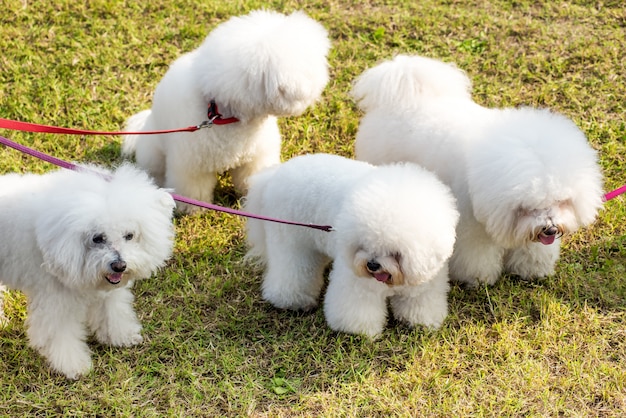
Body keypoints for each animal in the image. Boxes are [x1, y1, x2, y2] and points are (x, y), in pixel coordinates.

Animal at [0, 163, 176, 378]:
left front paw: (121, 335)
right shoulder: (56, 299)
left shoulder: (105, 291)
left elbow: (111, 311)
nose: (119, 266)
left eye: (129, 235)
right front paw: (72, 364)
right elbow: (59, 332)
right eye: (97, 238)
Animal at [119, 9, 330, 212]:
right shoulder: (192, 166)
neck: (222, 115)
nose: (323, 80)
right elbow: (193, 190)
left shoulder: (255, 158)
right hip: (153, 154)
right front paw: (193, 209)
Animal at [244, 155, 458, 338]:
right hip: (291, 243)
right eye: (363, 245)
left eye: (395, 253)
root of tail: (274, 176)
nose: (372, 265)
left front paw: (419, 322)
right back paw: (292, 301)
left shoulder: (424, 283)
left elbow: (419, 302)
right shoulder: (357, 282)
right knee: (291, 273)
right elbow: (357, 307)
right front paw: (358, 331)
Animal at [348, 54, 604, 286]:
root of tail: (402, 91)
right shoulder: (472, 226)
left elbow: (531, 249)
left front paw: (531, 270)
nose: (550, 229)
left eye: (562, 201)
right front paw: (478, 279)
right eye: (527, 208)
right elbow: (476, 255)